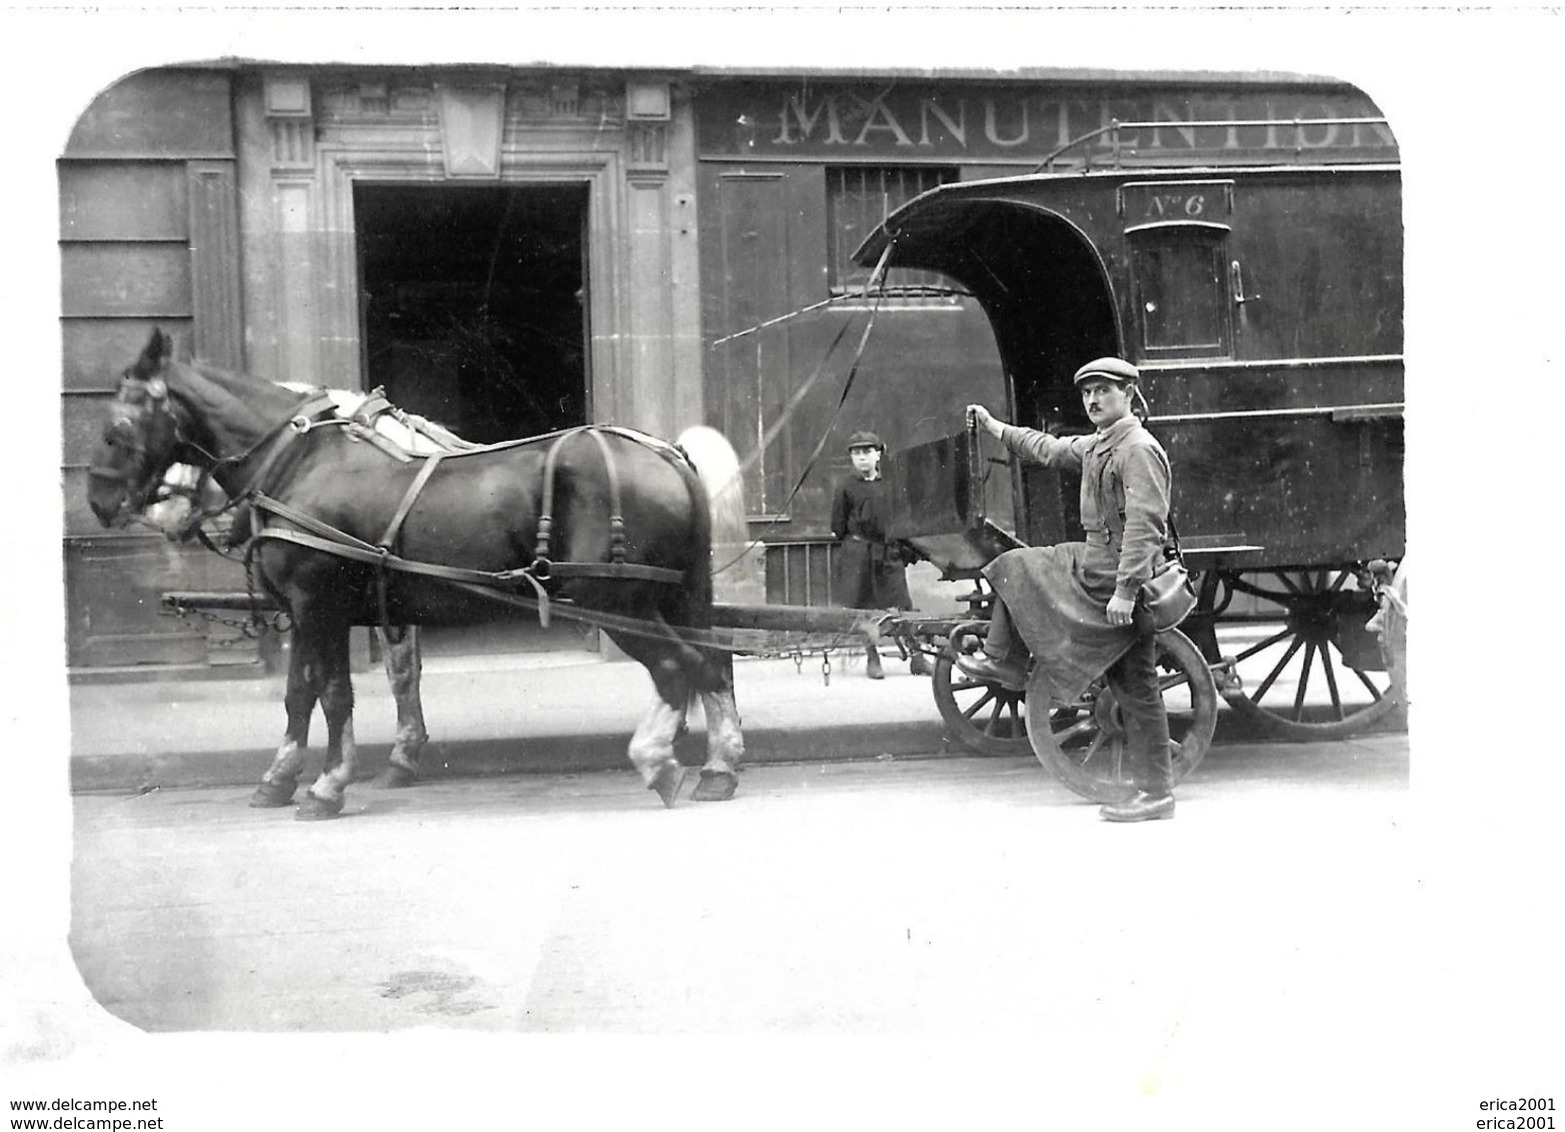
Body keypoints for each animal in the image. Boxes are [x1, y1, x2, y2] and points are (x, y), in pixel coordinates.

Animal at [91, 331, 751, 820]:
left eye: (117, 429)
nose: (100, 503)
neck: (299, 462)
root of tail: (667, 454)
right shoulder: (312, 611)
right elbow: (302, 693)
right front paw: (281, 779)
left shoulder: (318, 602)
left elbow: (333, 694)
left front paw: (327, 786)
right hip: (676, 593)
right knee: (711, 663)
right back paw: (718, 768)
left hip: (613, 598)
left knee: (676, 666)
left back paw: (657, 759)